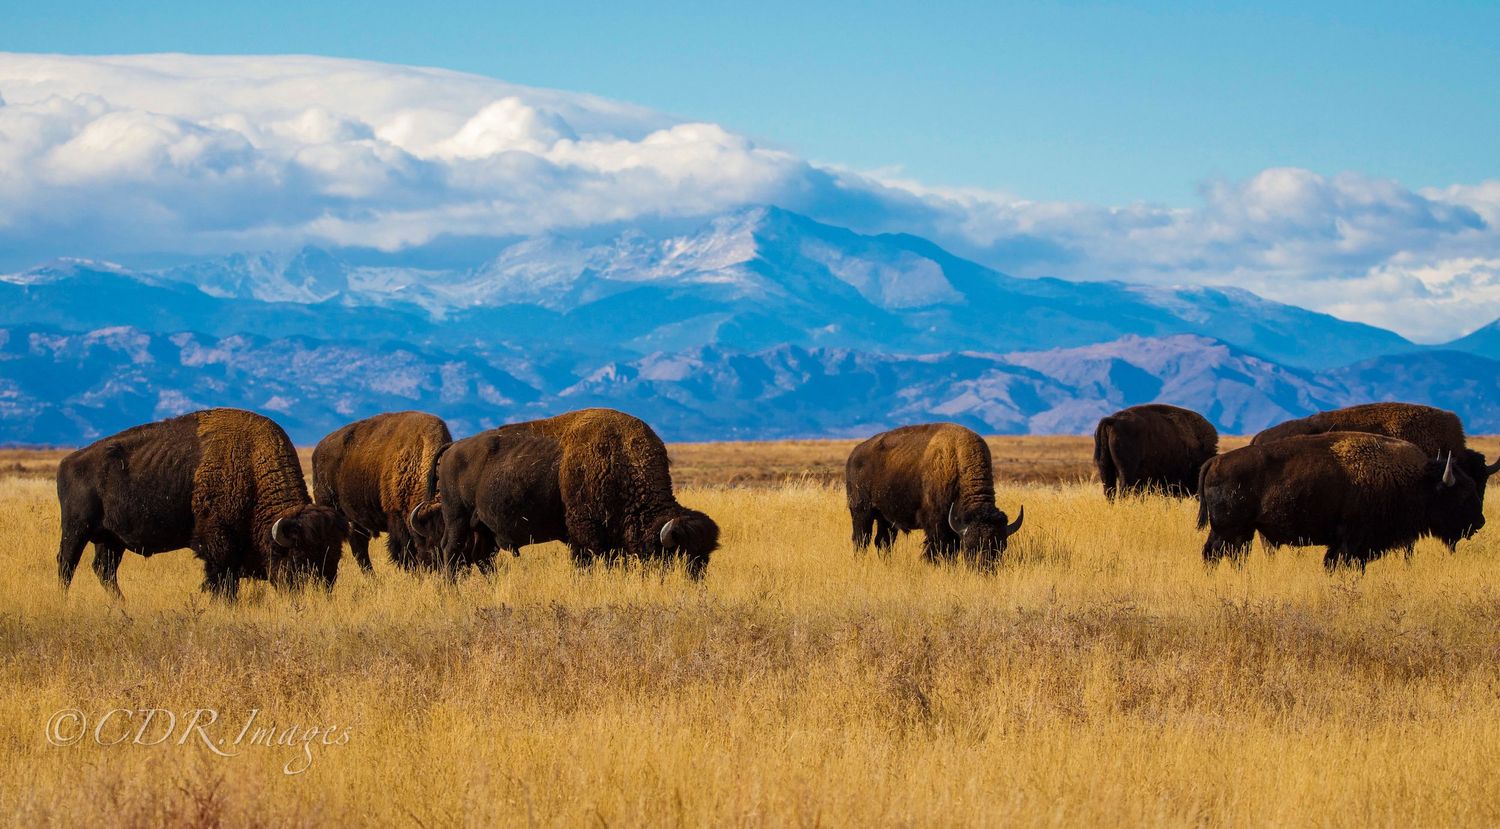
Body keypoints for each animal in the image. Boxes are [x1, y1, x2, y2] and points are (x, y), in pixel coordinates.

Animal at [56, 408, 348, 599]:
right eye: (298, 558)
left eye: (334, 558)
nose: (320, 595)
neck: (251, 465)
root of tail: (68, 462)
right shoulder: (218, 545)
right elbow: (222, 581)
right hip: (76, 529)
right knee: (67, 563)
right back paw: (65, 599)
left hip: (111, 539)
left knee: (104, 570)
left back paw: (121, 603)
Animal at [312, 411, 452, 573]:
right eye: (432, 542)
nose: (440, 567)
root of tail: (318, 449)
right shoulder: (396, 517)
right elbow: (404, 552)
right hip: (330, 506)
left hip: (356, 520)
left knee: (359, 546)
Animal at [846, 423, 1023, 567]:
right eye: (970, 546)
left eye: (1001, 546)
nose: (985, 570)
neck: (957, 464)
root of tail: (853, 455)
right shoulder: (936, 524)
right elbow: (938, 549)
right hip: (862, 512)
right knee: (861, 540)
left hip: (886, 519)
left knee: (883, 542)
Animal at [1198, 432, 1485, 569]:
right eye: (1461, 494)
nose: (1479, 522)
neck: (1416, 480)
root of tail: (1215, 461)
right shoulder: (1354, 542)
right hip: (1230, 530)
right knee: (1216, 553)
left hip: (1237, 532)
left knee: (1224, 555)